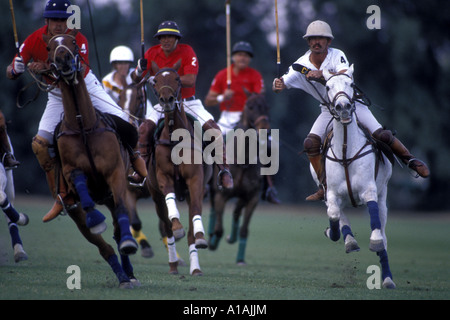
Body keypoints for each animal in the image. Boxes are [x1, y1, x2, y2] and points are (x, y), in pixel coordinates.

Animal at [45, 31, 139, 288]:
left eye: (73, 43)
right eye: (49, 47)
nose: (64, 59)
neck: (83, 126)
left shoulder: (115, 174)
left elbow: (123, 213)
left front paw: (129, 242)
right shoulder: (70, 171)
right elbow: (79, 183)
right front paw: (96, 217)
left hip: (114, 192)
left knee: (118, 228)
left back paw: (129, 271)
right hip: (75, 209)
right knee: (101, 244)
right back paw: (121, 274)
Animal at [147, 62, 212, 276]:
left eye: (177, 79)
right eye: (156, 80)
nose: (167, 100)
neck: (175, 137)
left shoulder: (195, 181)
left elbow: (196, 214)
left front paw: (200, 237)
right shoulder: (163, 177)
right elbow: (171, 211)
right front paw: (177, 227)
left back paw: (195, 267)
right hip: (155, 195)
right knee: (166, 227)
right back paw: (173, 264)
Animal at [207, 93, 270, 264]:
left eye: (266, 106)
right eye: (250, 106)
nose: (264, 128)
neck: (243, 160)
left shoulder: (252, 197)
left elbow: (244, 229)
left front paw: (240, 259)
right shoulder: (221, 195)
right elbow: (219, 229)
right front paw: (213, 243)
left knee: (236, 212)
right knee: (214, 211)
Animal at [314, 65, 396, 290]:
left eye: (351, 83)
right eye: (327, 86)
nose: (343, 106)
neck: (345, 151)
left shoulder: (369, 190)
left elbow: (375, 222)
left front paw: (374, 241)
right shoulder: (331, 193)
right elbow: (334, 215)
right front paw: (336, 234)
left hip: (383, 195)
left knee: (384, 232)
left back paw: (387, 279)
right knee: (339, 214)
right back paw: (348, 239)